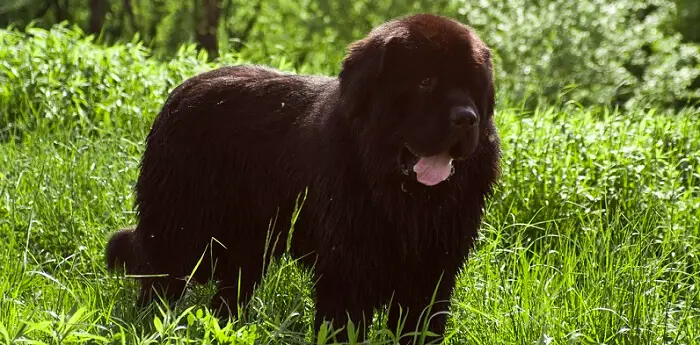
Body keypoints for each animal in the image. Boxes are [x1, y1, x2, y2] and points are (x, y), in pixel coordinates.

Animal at [106, 12, 500, 342]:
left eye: (472, 86)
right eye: (425, 81)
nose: (467, 118)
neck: (400, 196)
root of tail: (180, 91)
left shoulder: (433, 274)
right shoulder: (347, 272)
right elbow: (344, 325)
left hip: (247, 243)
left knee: (229, 292)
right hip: (182, 228)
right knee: (158, 284)